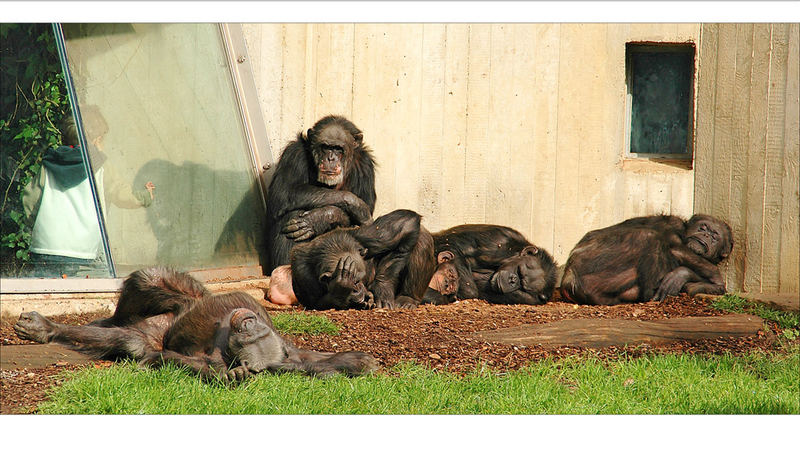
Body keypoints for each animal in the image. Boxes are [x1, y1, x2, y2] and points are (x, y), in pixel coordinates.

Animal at [14, 266, 380, 382]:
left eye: (248, 343)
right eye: (254, 332)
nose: (247, 323)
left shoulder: (218, 352)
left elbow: (178, 360)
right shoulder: (289, 348)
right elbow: (319, 359)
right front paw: (358, 360)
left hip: (153, 329)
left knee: (134, 341)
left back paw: (50, 330)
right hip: (184, 293)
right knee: (150, 281)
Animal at [262, 116, 376, 274]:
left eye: (338, 149)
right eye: (325, 147)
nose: (331, 159)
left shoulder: (366, 166)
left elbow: (365, 221)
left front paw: (320, 218)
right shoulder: (294, 153)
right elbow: (283, 192)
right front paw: (354, 205)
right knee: (292, 213)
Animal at [266, 210, 434, 312]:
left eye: (358, 279)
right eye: (353, 282)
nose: (357, 288)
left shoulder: (366, 237)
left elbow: (404, 224)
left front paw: (382, 288)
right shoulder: (301, 271)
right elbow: (315, 302)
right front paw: (342, 290)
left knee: (421, 238)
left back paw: (407, 298)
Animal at [424, 224, 556, 306]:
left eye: (522, 286)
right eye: (519, 271)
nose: (512, 280)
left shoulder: (532, 299)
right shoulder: (497, 241)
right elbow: (453, 245)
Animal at [560, 215, 736, 308]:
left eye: (715, 236)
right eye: (702, 227)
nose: (706, 235)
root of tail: (568, 278)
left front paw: (682, 276)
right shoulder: (674, 224)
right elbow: (674, 246)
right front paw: (716, 277)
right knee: (649, 236)